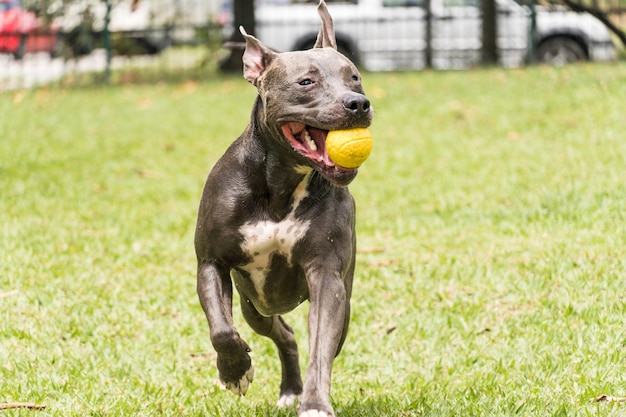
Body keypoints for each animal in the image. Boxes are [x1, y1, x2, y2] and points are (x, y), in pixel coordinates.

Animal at [194, 1, 370, 414]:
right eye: (306, 82)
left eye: (354, 77)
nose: (358, 103)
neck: (281, 187)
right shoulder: (211, 263)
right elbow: (221, 330)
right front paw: (234, 371)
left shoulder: (326, 277)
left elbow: (320, 350)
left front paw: (315, 401)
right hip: (254, 306)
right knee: (280, 332)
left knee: (304, 338)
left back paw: (295, 390)